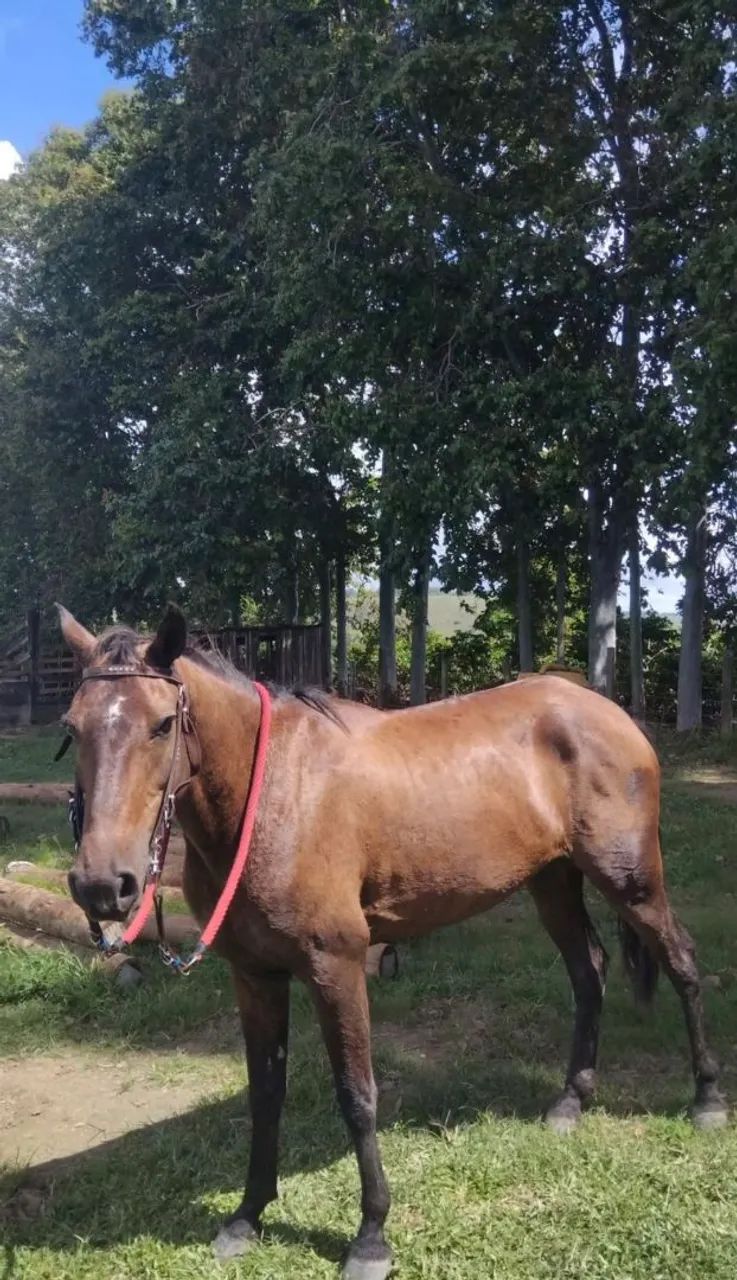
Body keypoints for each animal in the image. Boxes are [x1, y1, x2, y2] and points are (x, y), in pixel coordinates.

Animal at [58, 604, 727, 1280]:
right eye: (72, 726)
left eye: (163, 724)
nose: (102, 885)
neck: (271, 795)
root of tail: (603, 708)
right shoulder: (254, 974)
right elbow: (265, 1092)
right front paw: (247, 1216)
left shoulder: (337, 965)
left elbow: (358, 1096)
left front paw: (370, 1236)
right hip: (553, 881)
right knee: (589, 971)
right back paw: (570, 1102)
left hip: (630, 879)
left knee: (682, 963)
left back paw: (707, 1098)